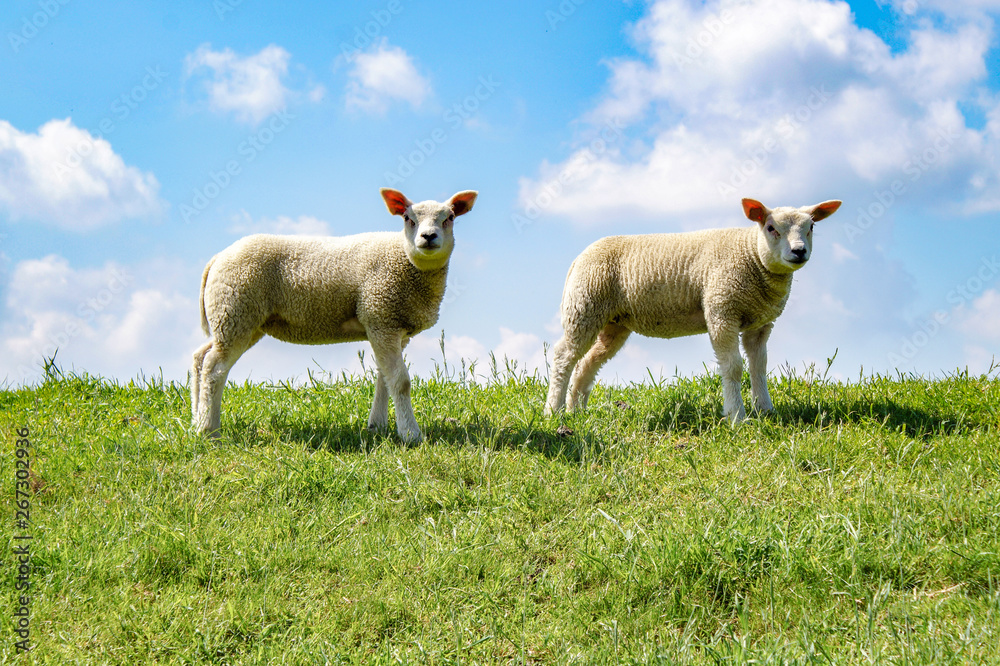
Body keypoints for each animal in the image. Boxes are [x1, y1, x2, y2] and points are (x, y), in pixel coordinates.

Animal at [191, 188, 478, 442]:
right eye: (408, 219)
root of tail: (218, 258)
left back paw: (197, 416)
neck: (405, 261)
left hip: (238, 320)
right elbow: (400, 381)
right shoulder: (380, 317)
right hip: (236, 311)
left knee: (200, 357)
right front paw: (410, 434)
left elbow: (384, 379)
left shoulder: (393, 327)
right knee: (214, 368)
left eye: (450, 217)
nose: (428, 236)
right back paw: (209, 431)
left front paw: (377, 426)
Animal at [544, 197, 842, 423]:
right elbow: (733, 367)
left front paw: (765, 411)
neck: (752, 255)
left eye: (811, 226)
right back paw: (553, 410)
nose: (799, 251)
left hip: (613, 322)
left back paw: (577, 410)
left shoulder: (759, 324)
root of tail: (578, 259)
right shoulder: (721, 310)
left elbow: (759, 366)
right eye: (771, 228)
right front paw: (737, 416)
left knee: (588, 362)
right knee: (563, 356)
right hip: (585, 306)